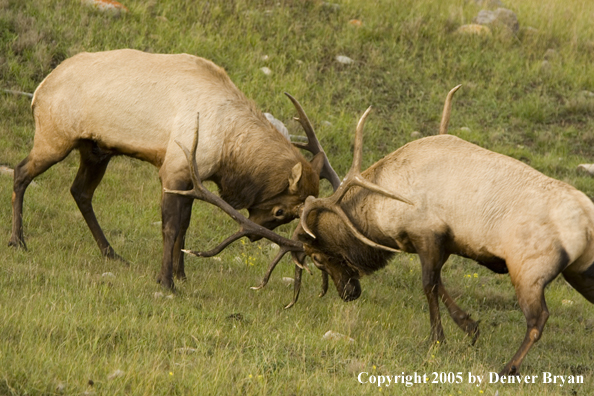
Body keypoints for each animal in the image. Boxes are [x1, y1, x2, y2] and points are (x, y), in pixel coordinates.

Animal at [10, 48, 338, 290]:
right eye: (282, 211)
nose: (255, 236)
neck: (227, 148)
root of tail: (39, 89)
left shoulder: (193, 179)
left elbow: (184, 225)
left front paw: (181, 274)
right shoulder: (173, 170)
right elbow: (169, 226)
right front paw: (166, 281)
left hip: (95, 151)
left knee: (80, 192)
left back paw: (111, 253)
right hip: (55, 138)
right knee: (20, 172)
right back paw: (18, 241)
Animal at [290, 89, 592, 374]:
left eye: (318, 257)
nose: (348, 293)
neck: (382, 211)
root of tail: (587, 220)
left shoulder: (428, 235)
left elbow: (428, 285)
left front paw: (438, 338)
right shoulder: (442, 243)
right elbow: (439, 283)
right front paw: (469, 326)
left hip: (529, 271)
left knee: (537, 319)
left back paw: (508, 367)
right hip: (580, 271)